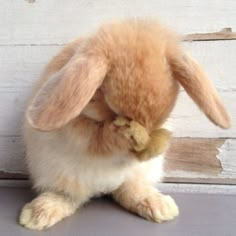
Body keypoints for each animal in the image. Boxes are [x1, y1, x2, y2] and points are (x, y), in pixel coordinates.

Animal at [18, 18, 230, 230]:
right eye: (110, 105)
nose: (142, 146)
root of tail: (103, 187)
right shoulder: (75, 129)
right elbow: (94, 138)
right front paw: (123, 135)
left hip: (137, 176)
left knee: (129, 190)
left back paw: (159, 206)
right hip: (60, 175)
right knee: (68, 195)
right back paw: (37, 215)